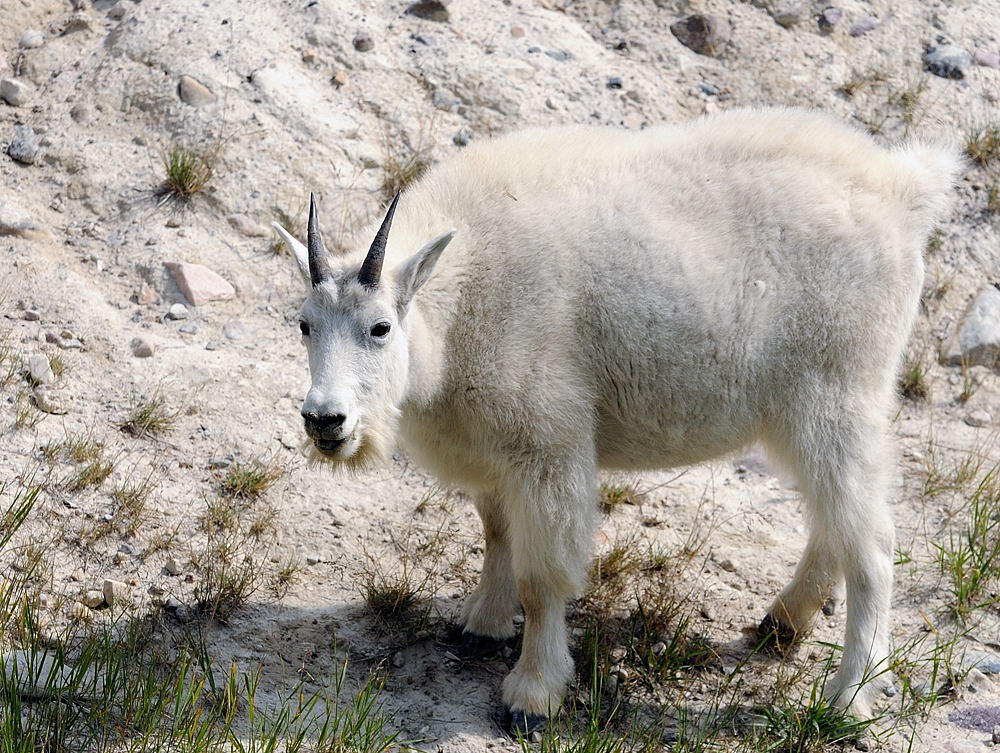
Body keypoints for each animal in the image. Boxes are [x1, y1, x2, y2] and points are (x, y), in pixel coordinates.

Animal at [274, 107, 959, 734]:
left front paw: (533, 694)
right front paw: (482, 625)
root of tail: (905, 190)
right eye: (304, 324)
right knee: (832, 520)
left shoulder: (547, 440)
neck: (454, 305)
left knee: (872, 542)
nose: (325, 420)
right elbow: (497, 535)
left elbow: (542, 577)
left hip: (837, 393)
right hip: (800, 410)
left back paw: (849, 699)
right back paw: (781, 624)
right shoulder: (495, 449)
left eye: (380, 328)